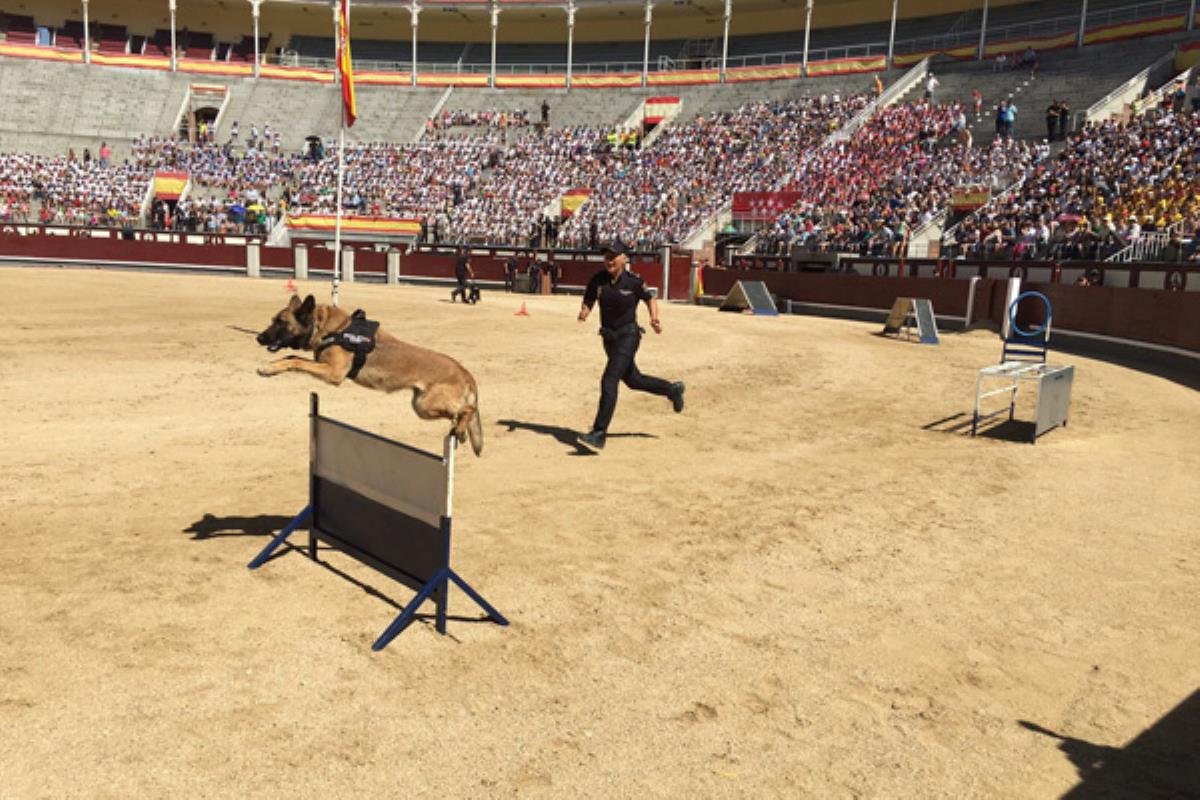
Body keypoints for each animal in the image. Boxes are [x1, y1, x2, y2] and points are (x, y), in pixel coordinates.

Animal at [255, 293, 484, 455]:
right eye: (273, 320)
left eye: (280, 322)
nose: (259, 338)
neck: (327, 327)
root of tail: (465, 371)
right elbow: (292, 356)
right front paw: (272, 366)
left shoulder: (333, 373)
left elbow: (296, 360)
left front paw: (268, 368)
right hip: (421, 406)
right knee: (459, 413)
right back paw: (460, 430)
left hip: (424, 405)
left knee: (468, 409)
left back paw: (461, 427)